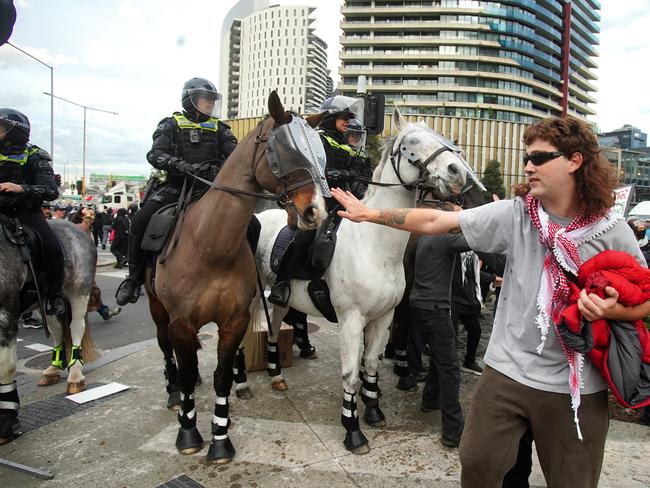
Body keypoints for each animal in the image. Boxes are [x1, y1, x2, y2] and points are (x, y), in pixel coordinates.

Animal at [146, 92, 324, 466]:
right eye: (284, 151)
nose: (316, 212)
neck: (211, 245)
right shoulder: (181, 322)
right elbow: (186, 373)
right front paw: (188, 433)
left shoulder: (234, 321)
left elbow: (222, 377)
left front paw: (220, 439)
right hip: (158, 310)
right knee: (167, 350)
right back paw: (173, 393)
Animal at [254, 108, 480, 456]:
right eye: (413, 141)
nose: (458, 173)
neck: (376, 244)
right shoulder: (351, 320)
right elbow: (350, 375)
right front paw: (353, 430)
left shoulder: (384, 317)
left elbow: (371, 364)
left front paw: (373, 410)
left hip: (285, 298)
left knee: (277, 324)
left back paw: (276, 371)